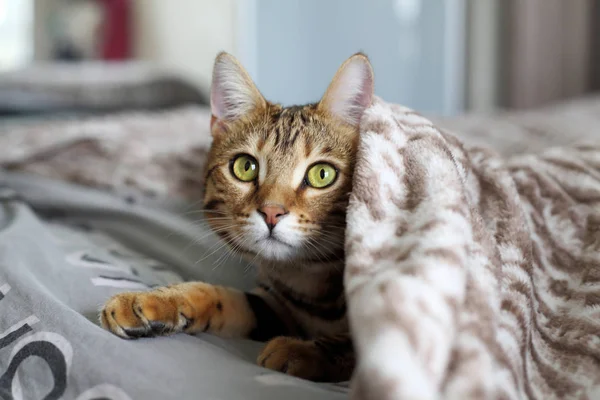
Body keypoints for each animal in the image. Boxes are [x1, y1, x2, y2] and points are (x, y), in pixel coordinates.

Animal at [102, 50, 376, 382]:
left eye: (322, 174)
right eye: (245, 167)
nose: (271, 212)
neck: (309, 283)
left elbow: (359, 346)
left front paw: (303, 350)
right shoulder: (273, 305)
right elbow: (215, 294)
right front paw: (155, 300)